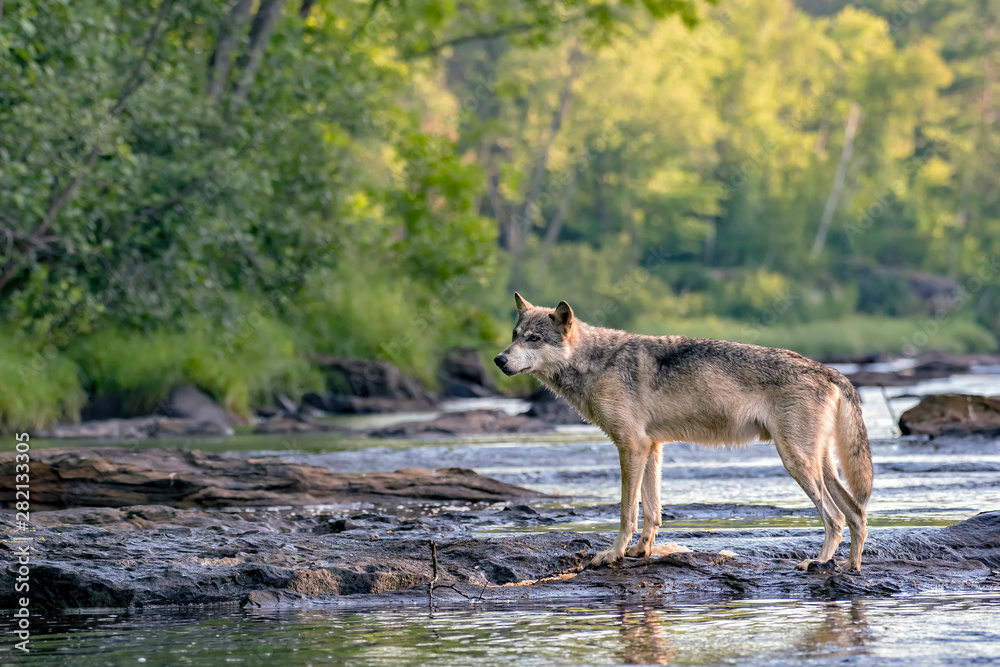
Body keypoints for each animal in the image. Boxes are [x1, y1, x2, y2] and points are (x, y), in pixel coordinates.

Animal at [494, 293, 872, 570]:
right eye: (514, 336)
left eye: (534, 339)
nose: (499, 359)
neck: (597, 362)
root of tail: (830, 371)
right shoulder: (651, 447)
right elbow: (652, 511)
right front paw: (641, 552)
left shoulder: (631, 446)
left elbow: (627, 512)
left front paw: (613, 554)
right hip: (818, 464)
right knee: (857, 513)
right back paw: (850, 567)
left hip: (797, 462)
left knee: (836, 517)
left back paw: (818, 563)